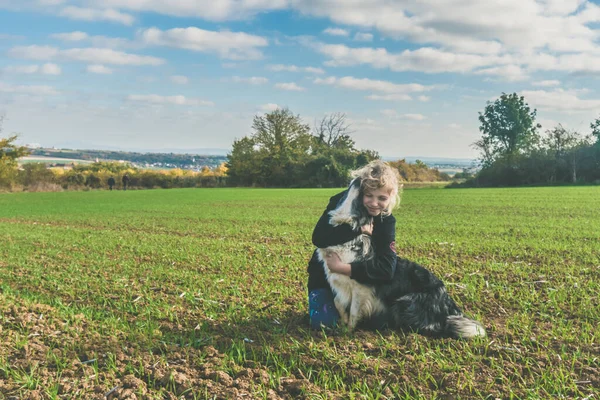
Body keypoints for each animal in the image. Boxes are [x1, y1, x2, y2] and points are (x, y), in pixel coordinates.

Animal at [316, 178, 486, 338]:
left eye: (360, 199)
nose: (359, 179)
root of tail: (449, 304)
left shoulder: (360, 289)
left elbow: (353, 310)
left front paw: (348, 331)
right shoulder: (340, 284)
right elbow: (338, 303)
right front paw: (342, 323)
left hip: (405, 301)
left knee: (432, 327)